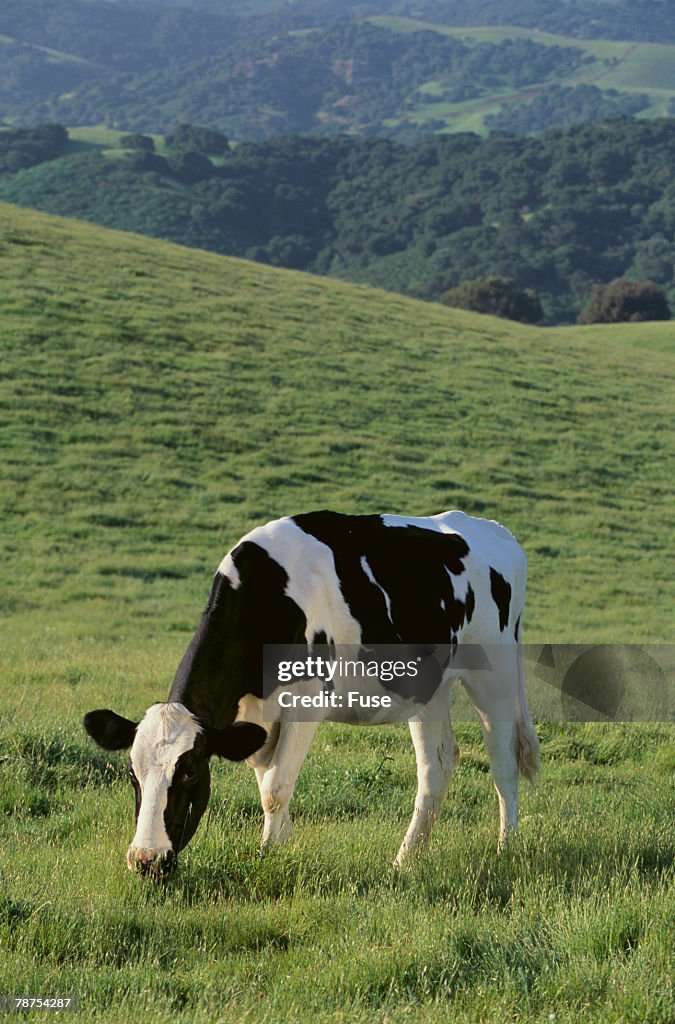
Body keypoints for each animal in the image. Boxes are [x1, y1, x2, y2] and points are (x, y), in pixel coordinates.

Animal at [84, 507, 540, 876]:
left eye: (190, 771)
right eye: (131, 774)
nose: (146, 860)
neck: (268, 596)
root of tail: (492, 529)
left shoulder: (306, 703)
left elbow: (275, 790)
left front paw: (268, 855)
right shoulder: (258, 719)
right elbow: (269, 784)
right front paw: (281, 848)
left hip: (495, 673)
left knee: (503, 762)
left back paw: (506, 848)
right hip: (429, 688)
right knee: (437, 767)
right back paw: (405, 860)